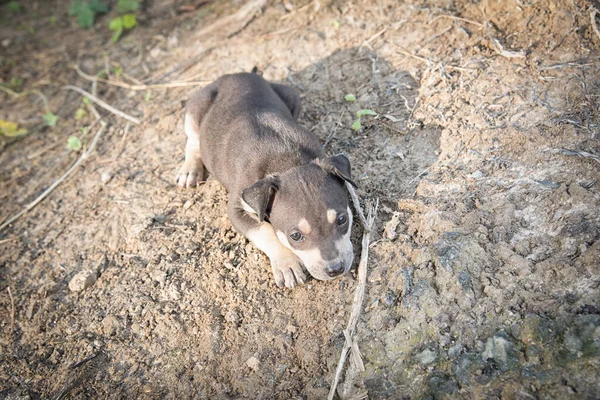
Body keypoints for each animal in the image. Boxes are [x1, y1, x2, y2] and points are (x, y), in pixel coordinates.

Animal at [178, 71, 356, 288]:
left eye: (342, 219)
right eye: (295, 236)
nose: (335, 269)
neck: (287, 162)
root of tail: (234, 74)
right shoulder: (236, 208)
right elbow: (265, 230)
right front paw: (287, 264)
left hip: (292, 95)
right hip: (194, 109)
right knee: (193, 140)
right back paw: (190, 170)